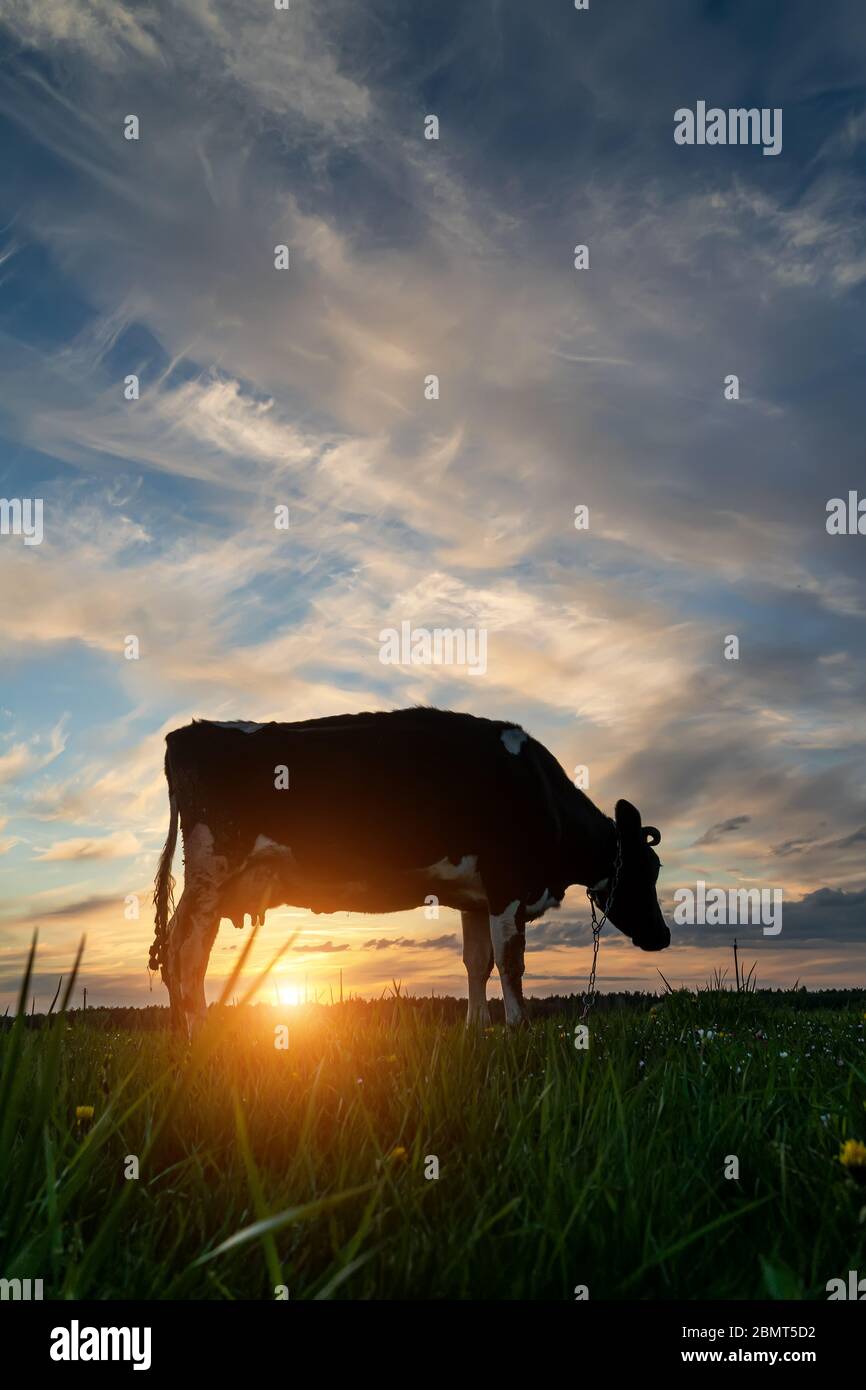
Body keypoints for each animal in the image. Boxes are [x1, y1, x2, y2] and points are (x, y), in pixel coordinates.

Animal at [149, 707, 670, 1034]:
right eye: (648, 868)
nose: (663, 935)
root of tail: (184, 734)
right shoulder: (507, 884)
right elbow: (511, 961)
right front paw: (518, 1027)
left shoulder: (475, 897)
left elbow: (476, 962)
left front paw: (478, 1030)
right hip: (212, 871)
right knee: (187, 950)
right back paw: (201, 1034)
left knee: (173, 947)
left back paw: (181, 1033)